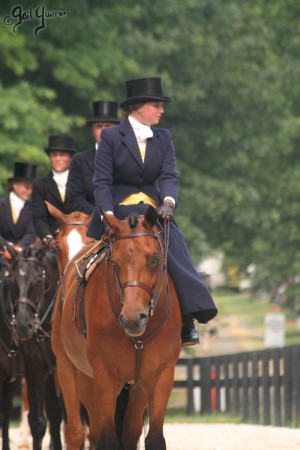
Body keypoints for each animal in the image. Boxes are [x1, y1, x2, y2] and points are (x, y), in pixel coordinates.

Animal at [51, 207, 182, 450]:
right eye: (115, 263)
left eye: (155, 259)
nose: (132, 318)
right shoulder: (104, 376)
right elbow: (107, 439)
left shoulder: (161, 375)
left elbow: (153, 438)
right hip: (68, 367)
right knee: (76, 432)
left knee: (127, 431)